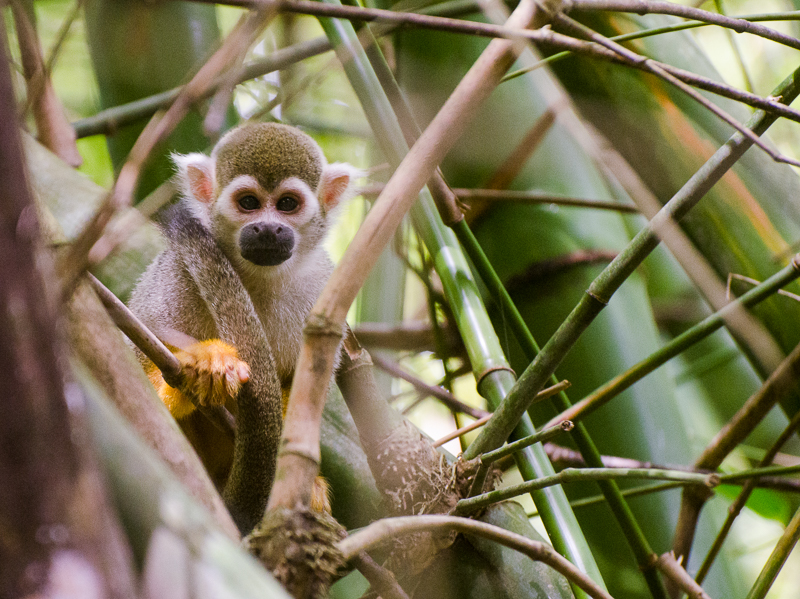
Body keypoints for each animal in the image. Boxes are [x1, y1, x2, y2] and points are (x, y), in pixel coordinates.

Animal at [130, 123, 358, 516]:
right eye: (249, 203)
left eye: (287, 204)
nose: (267, 229)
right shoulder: (174, 271)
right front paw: (204, 368)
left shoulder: (322, 287)